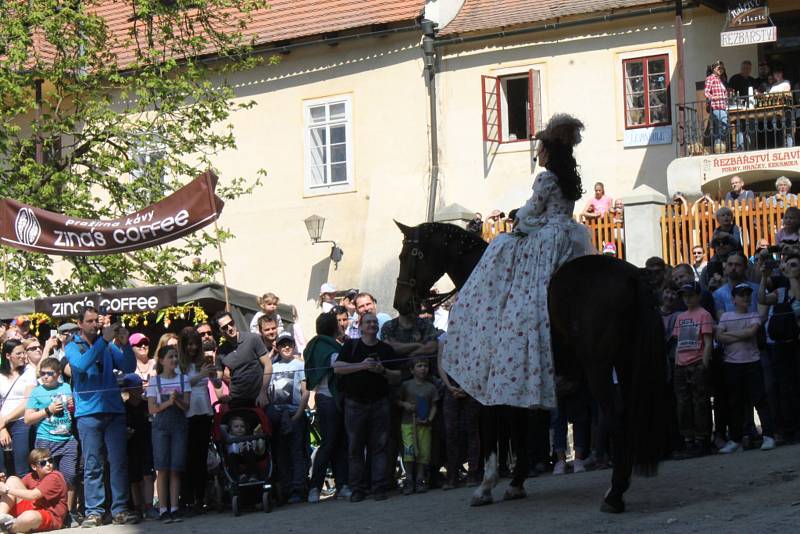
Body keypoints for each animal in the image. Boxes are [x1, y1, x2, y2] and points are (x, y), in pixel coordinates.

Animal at [390, 222, 664, 516]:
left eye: (404, 256)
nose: (400, 304)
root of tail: (632, 275)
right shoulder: (514, 381)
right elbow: (518, 426)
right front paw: (516, 483)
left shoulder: (487, 382)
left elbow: (491, 429)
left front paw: (486, 486)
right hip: (626, 362)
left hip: (598, 367)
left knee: (615, 414)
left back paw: (614, 494)